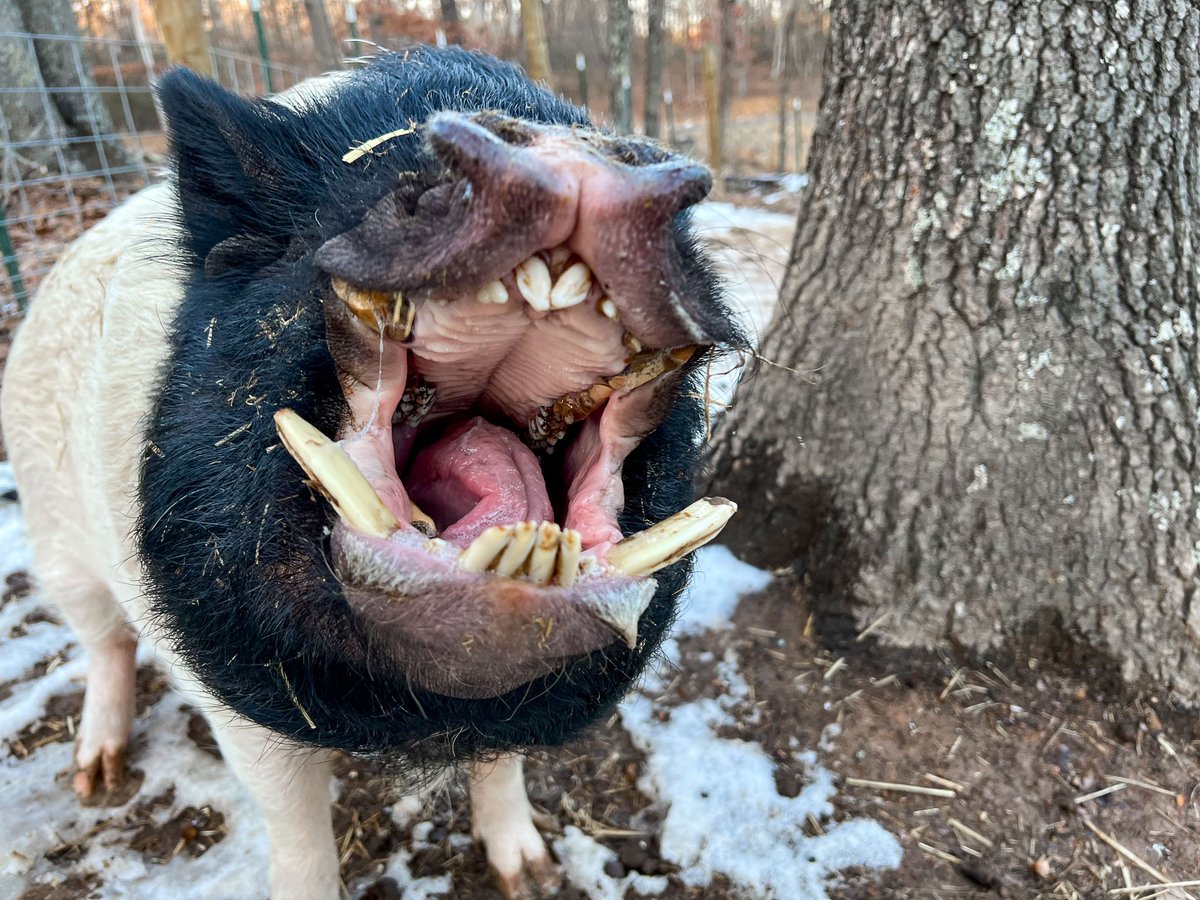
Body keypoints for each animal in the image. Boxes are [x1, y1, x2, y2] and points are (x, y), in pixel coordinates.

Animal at [0, 46, 741, 899]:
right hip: (54, 535)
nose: (576, 154)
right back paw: (96, 777)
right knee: (102, 643)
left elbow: (501, 769)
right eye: (377, 181)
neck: (409, 719)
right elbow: (294, 824)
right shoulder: (224, 685)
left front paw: (534, 876)